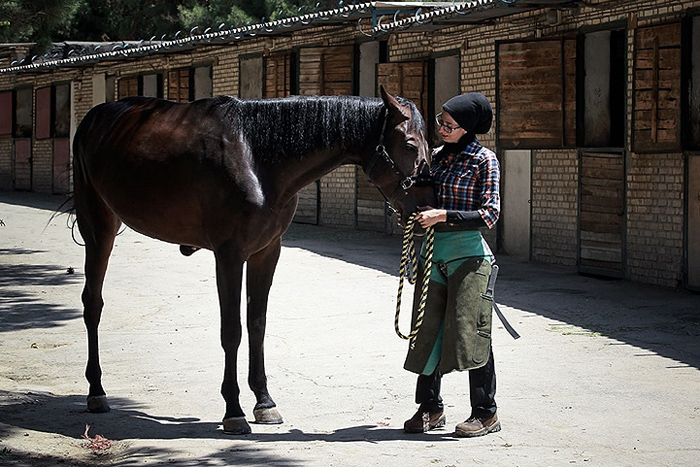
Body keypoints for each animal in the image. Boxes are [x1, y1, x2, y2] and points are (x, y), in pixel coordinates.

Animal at [71, 85, 432, 436]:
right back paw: (96, 392)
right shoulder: (229, 255)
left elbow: (257, 323)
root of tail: (93, 118)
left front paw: (264, 402)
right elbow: (232, 330)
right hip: (98, 229)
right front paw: (234, 411)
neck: (257, 158)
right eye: (410, 144)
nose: (426, 208)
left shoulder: (266, 252)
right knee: (92, 304)